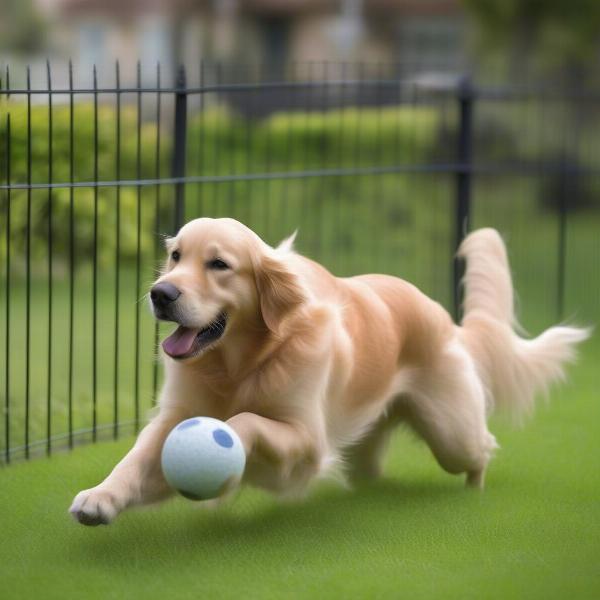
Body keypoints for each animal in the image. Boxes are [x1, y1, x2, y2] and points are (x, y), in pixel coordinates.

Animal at [69, 217, 584, 524]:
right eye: (176, 256)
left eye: (218, 264)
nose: (161, 294)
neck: (243, 363)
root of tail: (444, 317)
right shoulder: (173, 418)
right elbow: (135, 457)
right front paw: (100, 497)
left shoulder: (307, 441)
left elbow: (244, 421)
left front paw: (227, 463)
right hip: (372, 442)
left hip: (451, 432)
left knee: (480, 450)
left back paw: (475, 492)